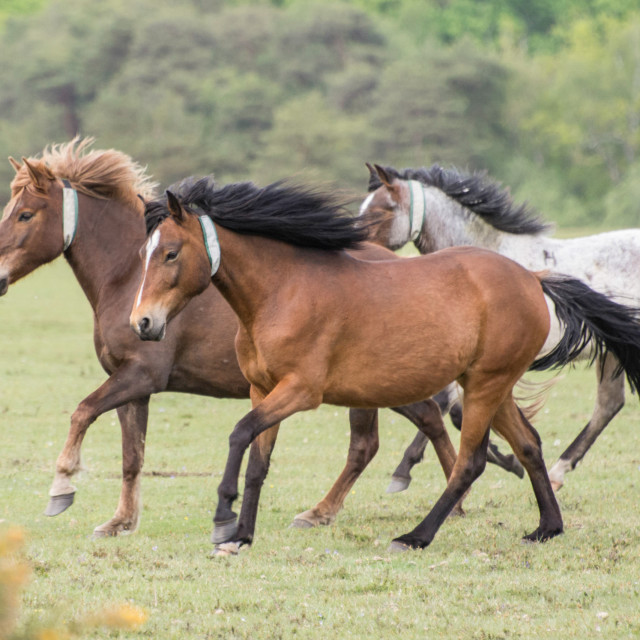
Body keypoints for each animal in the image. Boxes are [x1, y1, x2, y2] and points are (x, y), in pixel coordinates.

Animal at [0, 141, 460, 540]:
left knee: (381, 439)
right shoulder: (134, 387)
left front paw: (62, 489)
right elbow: (132, 457)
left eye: (24, 215)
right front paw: (120, 522)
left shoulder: (139, 376)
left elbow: (82, 412)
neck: (125, 279)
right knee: (415, 424)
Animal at [127, 178, 640, 552]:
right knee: (529, 445)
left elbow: (238, 434)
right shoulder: (263, 390)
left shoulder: (301, 392)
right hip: (492, 384)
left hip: (484, 386)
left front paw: (223, 521)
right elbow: (258, 460)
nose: (143, 323)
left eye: (170, 253)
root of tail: (532, 278)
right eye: (142, 254)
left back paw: (415, 536)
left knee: (470, 461)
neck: (281, 292)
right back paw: (547, 528)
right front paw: (242, 536)